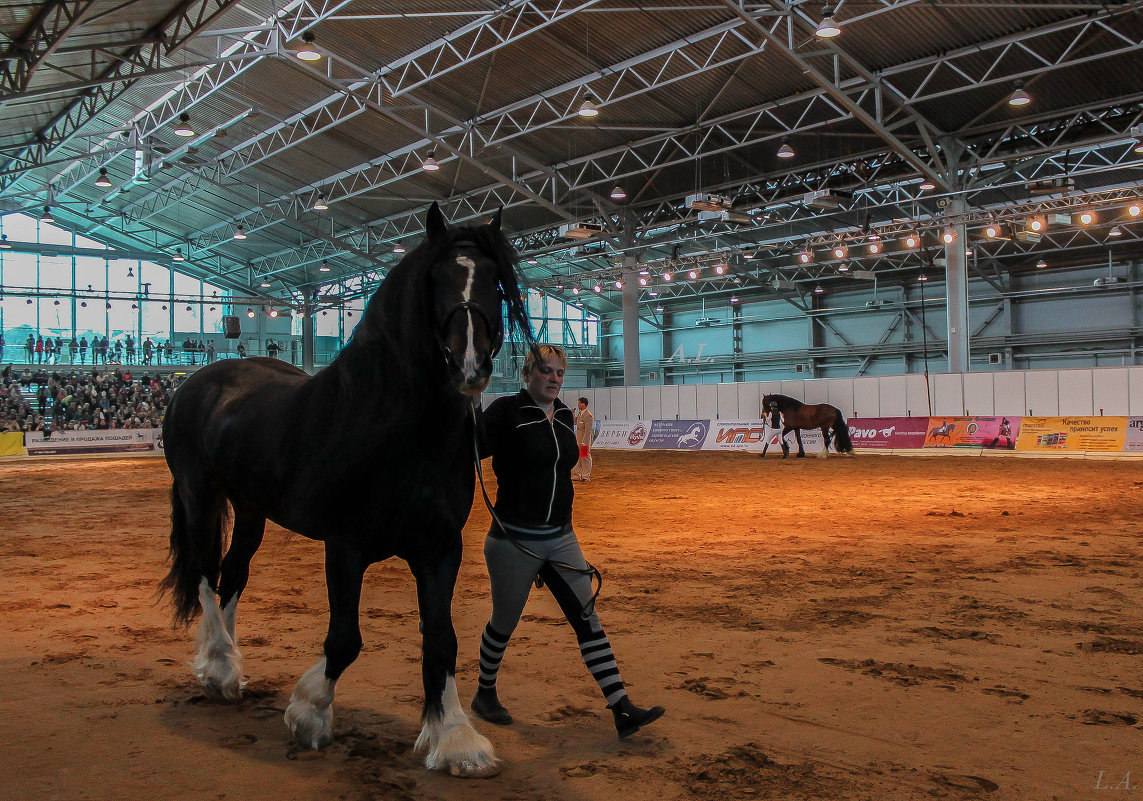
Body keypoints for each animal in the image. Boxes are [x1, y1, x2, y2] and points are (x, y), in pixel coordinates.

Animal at [158, 203, 528, 777]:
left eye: (494, 280)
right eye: (437, 278)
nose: (470, 365)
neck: (392, 425)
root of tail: (197, 382)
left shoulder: (440, 549)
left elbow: (442, 640)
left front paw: (456, 739)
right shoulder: (346, 546)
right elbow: (345, 638)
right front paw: (309, 712)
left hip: (251, 508)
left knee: (231, 576)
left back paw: (231, 669)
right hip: (199, 494)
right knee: (202, 571)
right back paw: (218, 667)